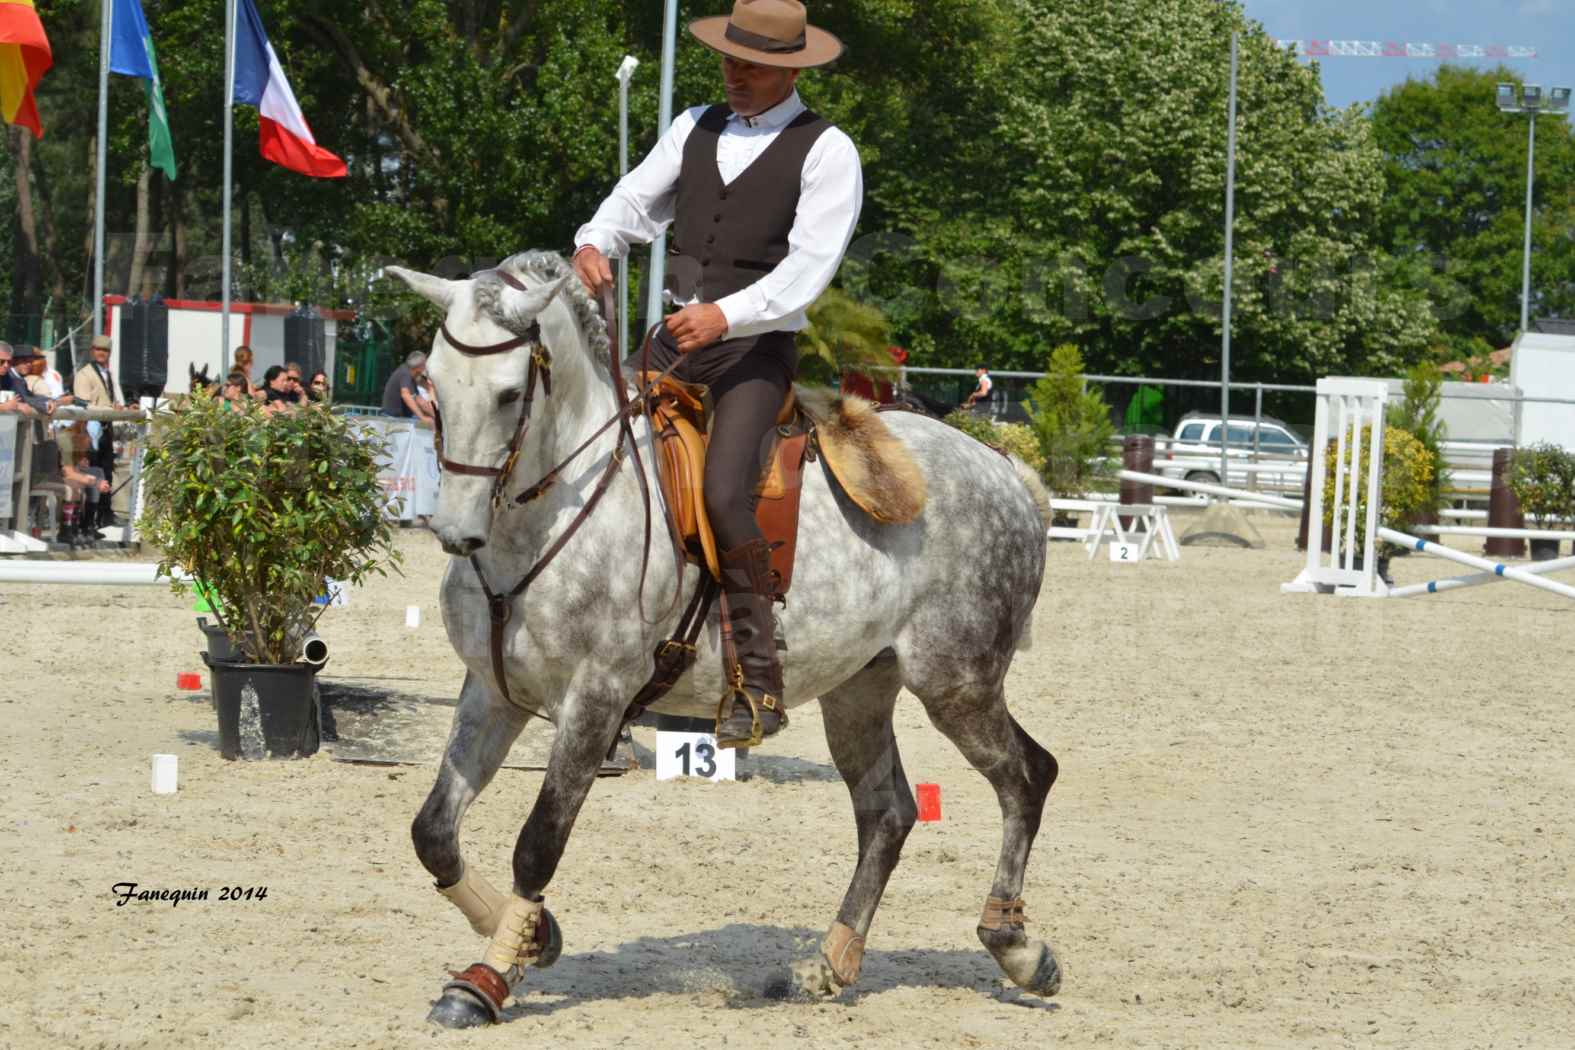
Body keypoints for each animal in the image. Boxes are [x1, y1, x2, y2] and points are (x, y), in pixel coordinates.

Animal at [389, 251, 1064, 1026]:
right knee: (888, 810)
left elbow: (538, 844)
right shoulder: (492, 691)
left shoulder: (595, 698)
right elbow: (434, 833)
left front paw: (489, 978)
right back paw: (830, 963)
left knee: (1025, 776)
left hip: (957, 682)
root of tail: (1004, 469)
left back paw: (1016, 946)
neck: (546, 518)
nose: (454, 532)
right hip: (860, 688)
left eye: (508, 395)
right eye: (434, 388)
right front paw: (534, 938)